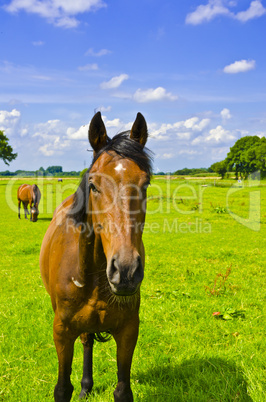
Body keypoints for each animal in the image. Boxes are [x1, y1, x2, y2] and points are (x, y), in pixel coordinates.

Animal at [39, 111, 152, 400]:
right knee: (87, 341)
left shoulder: (128, 330)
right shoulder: (62, 331)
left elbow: (123, 390)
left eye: (145, 183)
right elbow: (62, 389)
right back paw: (85, 386)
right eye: (93, 185)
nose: (126, 271)